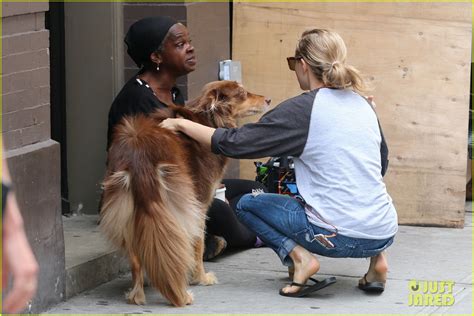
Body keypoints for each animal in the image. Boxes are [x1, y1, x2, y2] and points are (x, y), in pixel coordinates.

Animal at [99, 81, 270, 306]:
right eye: (242, 93)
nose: (268, 99)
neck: (209, 117)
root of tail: (139, 153)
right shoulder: (200, 202)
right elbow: (197, 244)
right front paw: (201, 278)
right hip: (178, 207)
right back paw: (180, 292)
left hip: (126, 210)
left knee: (136, 258)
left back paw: (137, 295)